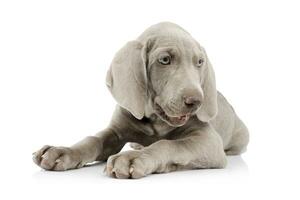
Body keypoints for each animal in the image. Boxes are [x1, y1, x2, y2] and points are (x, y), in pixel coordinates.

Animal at [32, 21, 248, 178]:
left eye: (200, 62)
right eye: (165, 60)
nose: (196, 102)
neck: (155, 120)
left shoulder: (209, 140)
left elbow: (169, 144)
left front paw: (135, 157)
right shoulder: (116, 130)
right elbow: (94, 139)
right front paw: (62, 151)